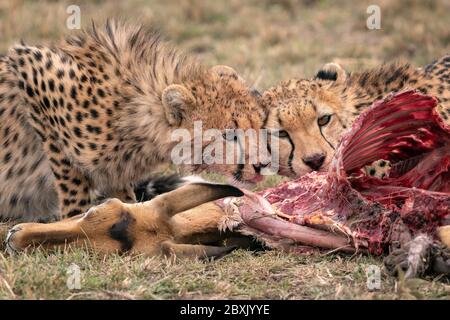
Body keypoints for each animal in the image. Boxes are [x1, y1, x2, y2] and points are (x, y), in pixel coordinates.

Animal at [0, 20, 268, 224]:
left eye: (258, 127)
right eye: (230, 135)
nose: (263, 164)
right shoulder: (30, 67)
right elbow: (71, 178)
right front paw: (75, 221)